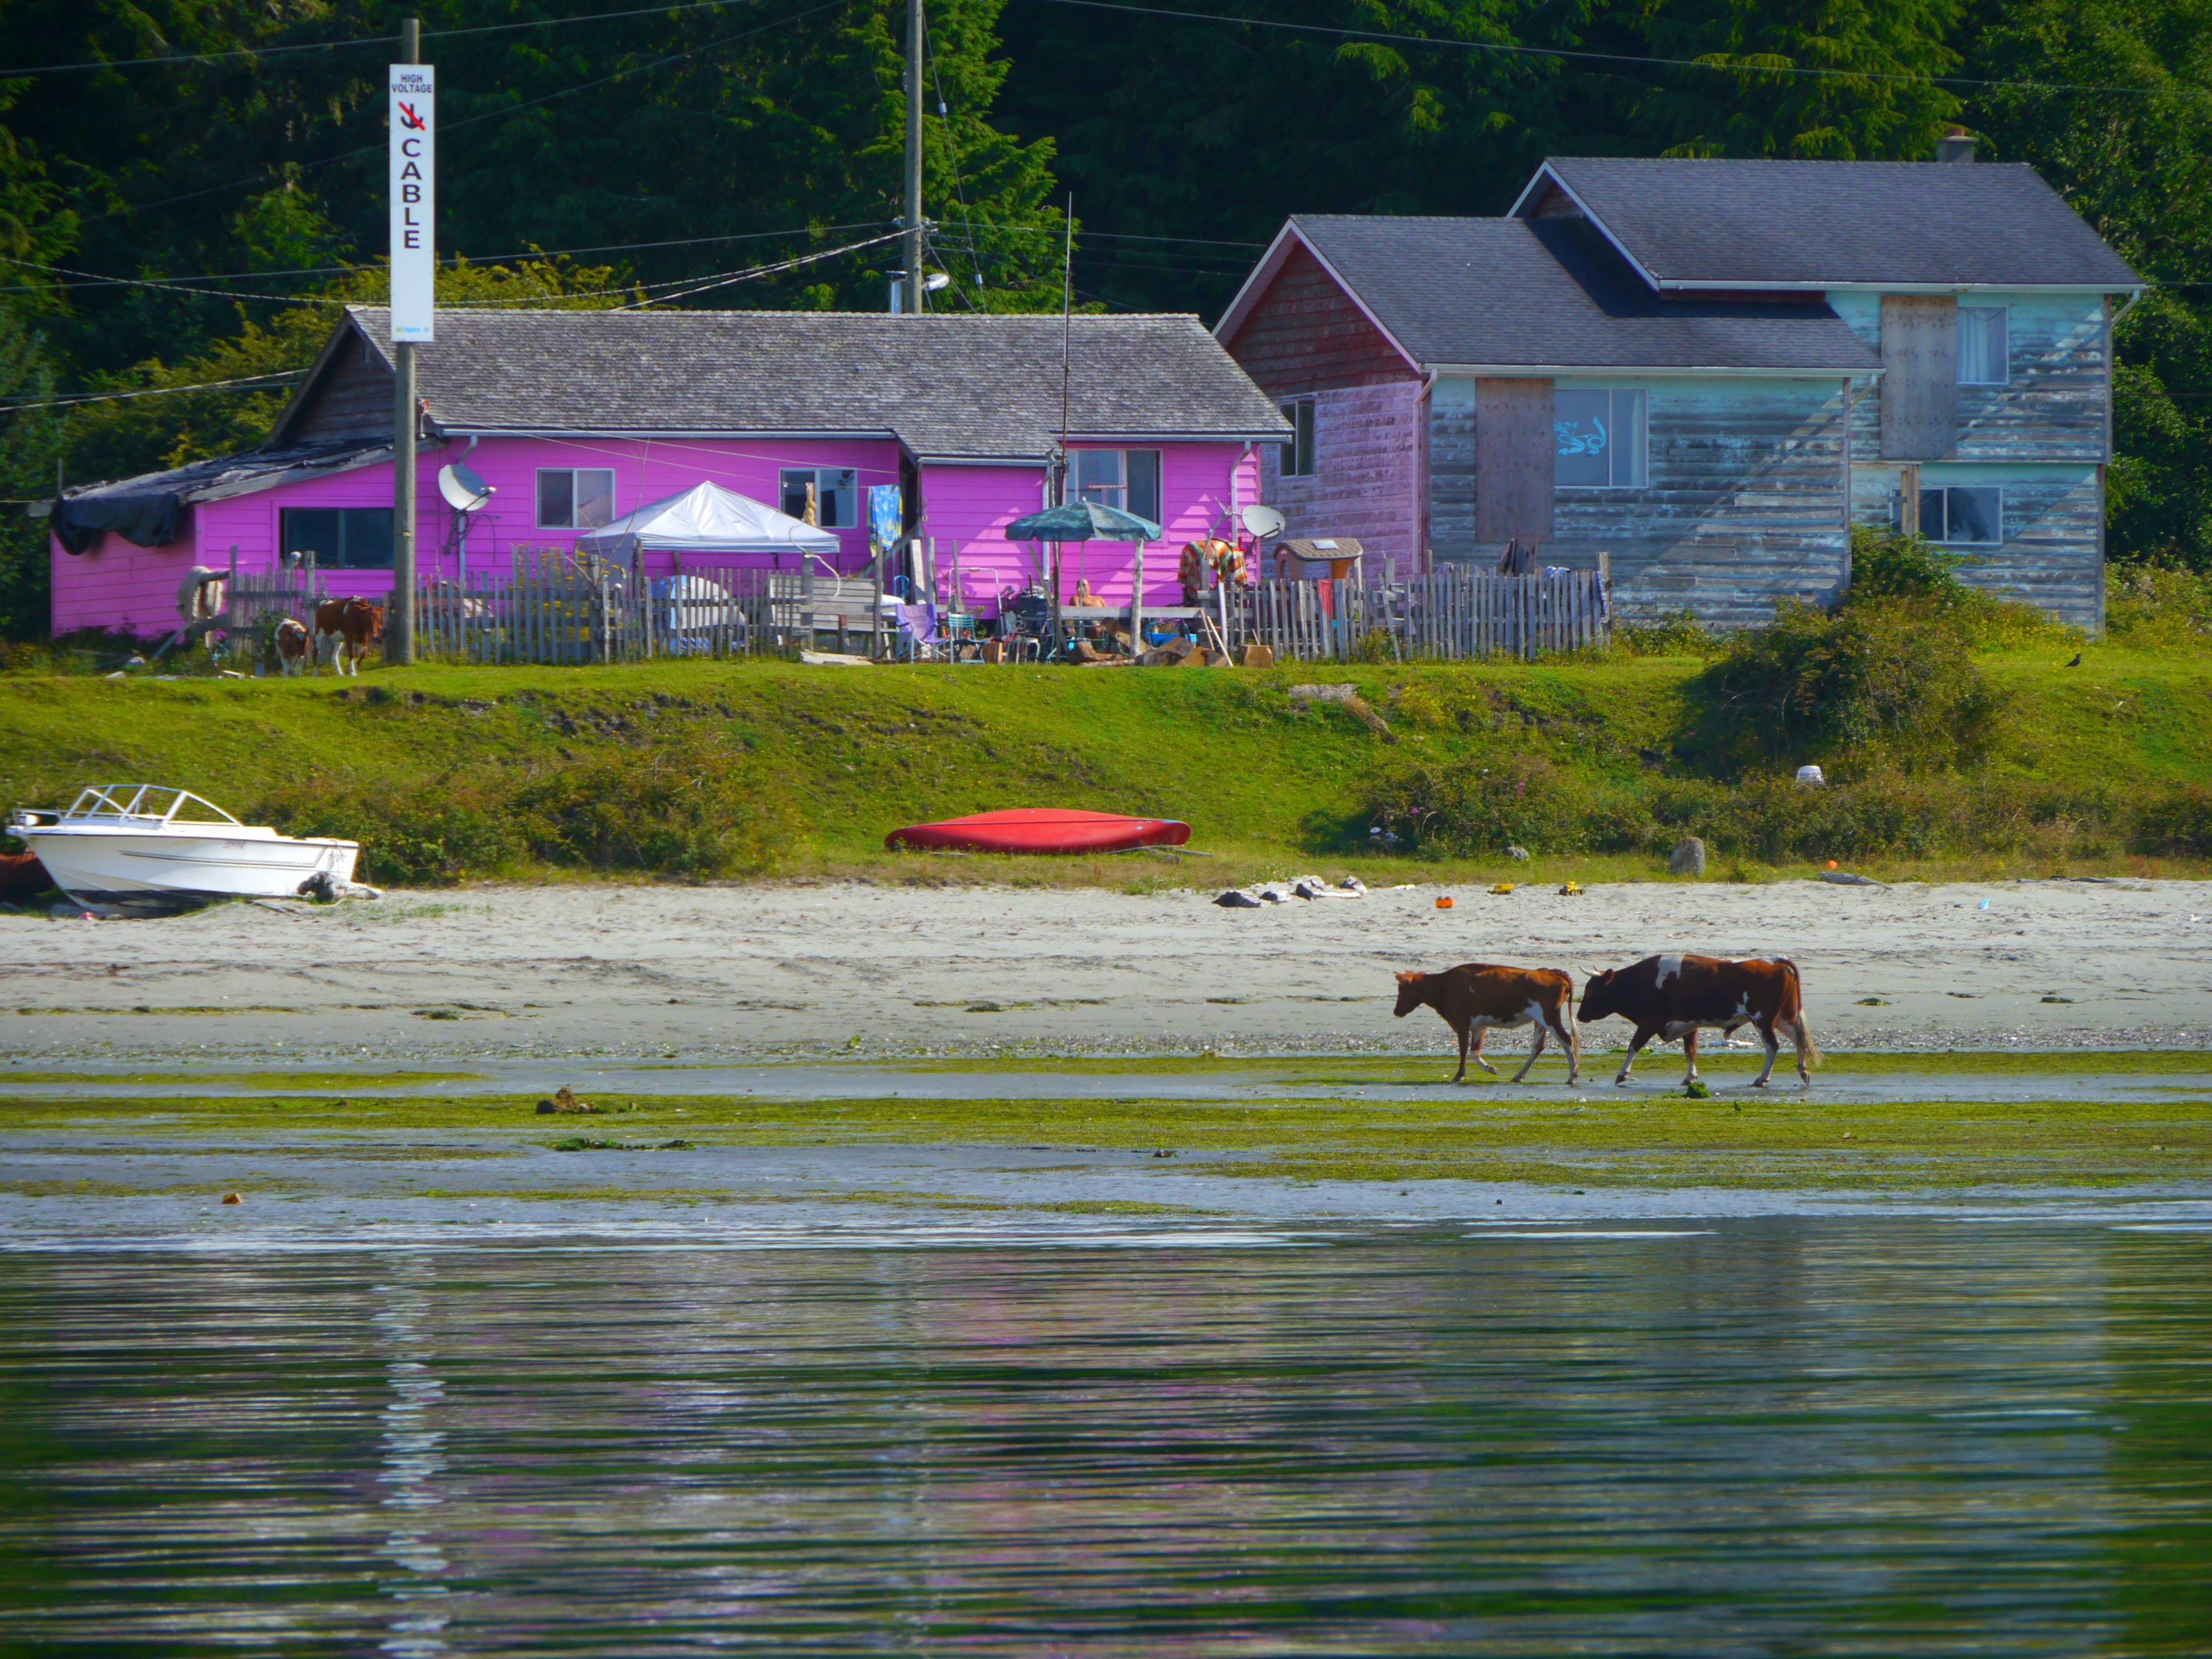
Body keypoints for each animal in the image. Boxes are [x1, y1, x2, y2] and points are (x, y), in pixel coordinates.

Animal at [312, 601, 384, 676]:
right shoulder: (349, 637)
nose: (374, 634)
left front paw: (355, 666)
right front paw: (352, 672)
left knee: (334, 655)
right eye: (367, 619)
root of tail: (325, 602)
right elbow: (351, 654)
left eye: (379, 619)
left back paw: (341, 674)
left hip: (338, 640)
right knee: (315, 652)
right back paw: (315, 674)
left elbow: (363, 654)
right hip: (318, 632)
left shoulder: (365, 638)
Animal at [1389, 960, 1583, 1093]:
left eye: (1402, 990)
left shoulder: (1461, 1023)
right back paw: (1519, 1076)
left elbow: (1464, 1051)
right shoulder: (1479, 1026)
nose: (1396, 1011)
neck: (1444, 986)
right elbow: (1475, 1052)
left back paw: (1573, 1077)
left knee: (1567, 1041)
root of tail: (1552, 972)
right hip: (1540, 1021)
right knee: (1538, 1046)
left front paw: (1459, 1075)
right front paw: (1491, 1069)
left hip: (1549, 1017)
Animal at [1583, 960, 1823, 1093]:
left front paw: (1622, 1074)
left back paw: (1762, 1079)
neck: (1643, 981)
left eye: (1592, 990)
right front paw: (1691, 1077)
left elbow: (1634, 1046)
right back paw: (1803, 1071)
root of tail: (1777, 962)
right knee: (1799, 1038)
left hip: (1763, 1020)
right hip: (1782, 1018)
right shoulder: (1688, 1026)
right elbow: (1690, 1051)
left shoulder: (1649, 1022)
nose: (1580, 1014)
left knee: (1773, 1046)